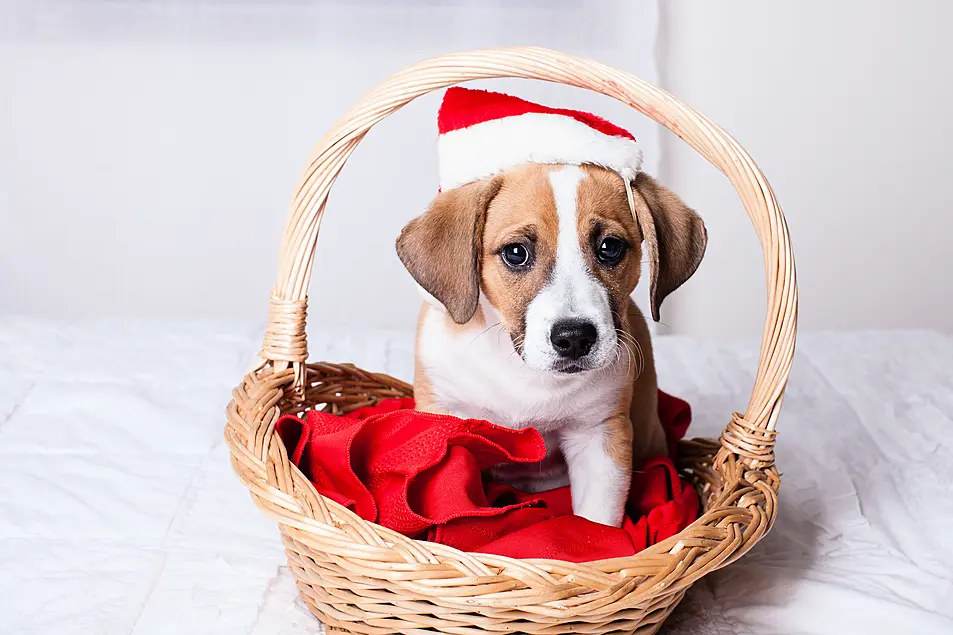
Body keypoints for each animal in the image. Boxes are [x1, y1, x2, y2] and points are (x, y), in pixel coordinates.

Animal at [394, 163, 708, 528]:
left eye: (610, 247)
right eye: (516, 253)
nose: (574, 338)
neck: (524, 373)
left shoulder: (599, 435)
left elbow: (597, 521)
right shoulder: (447, 423)